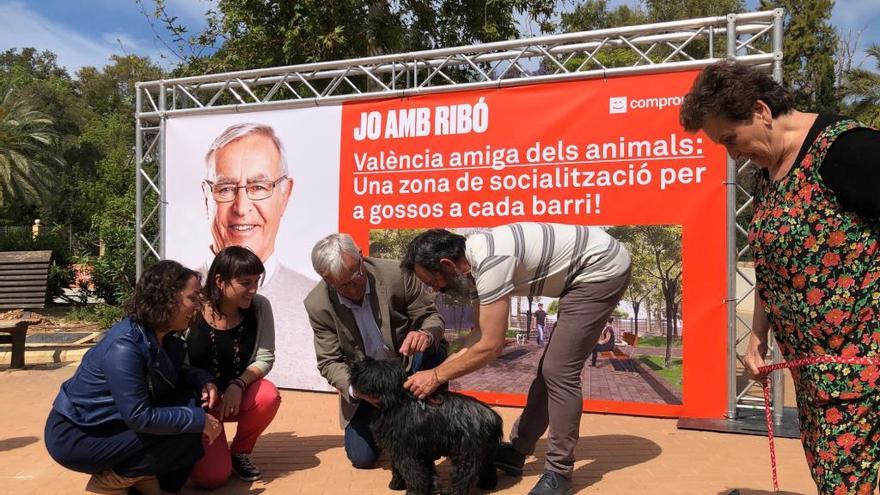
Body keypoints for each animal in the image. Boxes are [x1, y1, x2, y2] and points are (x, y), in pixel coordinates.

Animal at [350, 360, 502, 495]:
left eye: (363, 366)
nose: (353, 365)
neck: (395, 402)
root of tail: (493, 416)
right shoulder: (410, 450)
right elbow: (406, 470)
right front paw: (398, 485)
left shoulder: (406, 451)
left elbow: (413, 474)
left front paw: (413, 491)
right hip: (484, 451)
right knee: (488, 468)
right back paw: (487, 484)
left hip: (467, 452)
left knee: (465, 475)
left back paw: (453, 491)